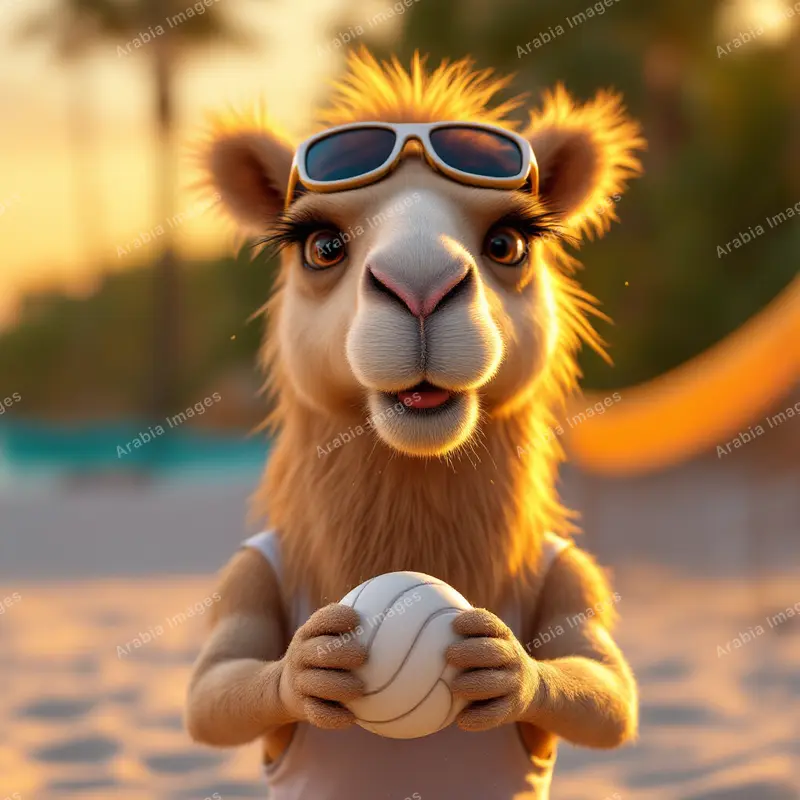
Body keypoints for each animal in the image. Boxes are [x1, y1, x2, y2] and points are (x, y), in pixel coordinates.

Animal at [185, 49, 645, 799]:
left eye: (508, 242)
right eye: (321, 245)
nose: (422, 286)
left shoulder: (573, 570)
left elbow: (606, 688)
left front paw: (511, 669)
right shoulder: (248, 571)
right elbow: (213, 690)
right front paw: (305, 668)